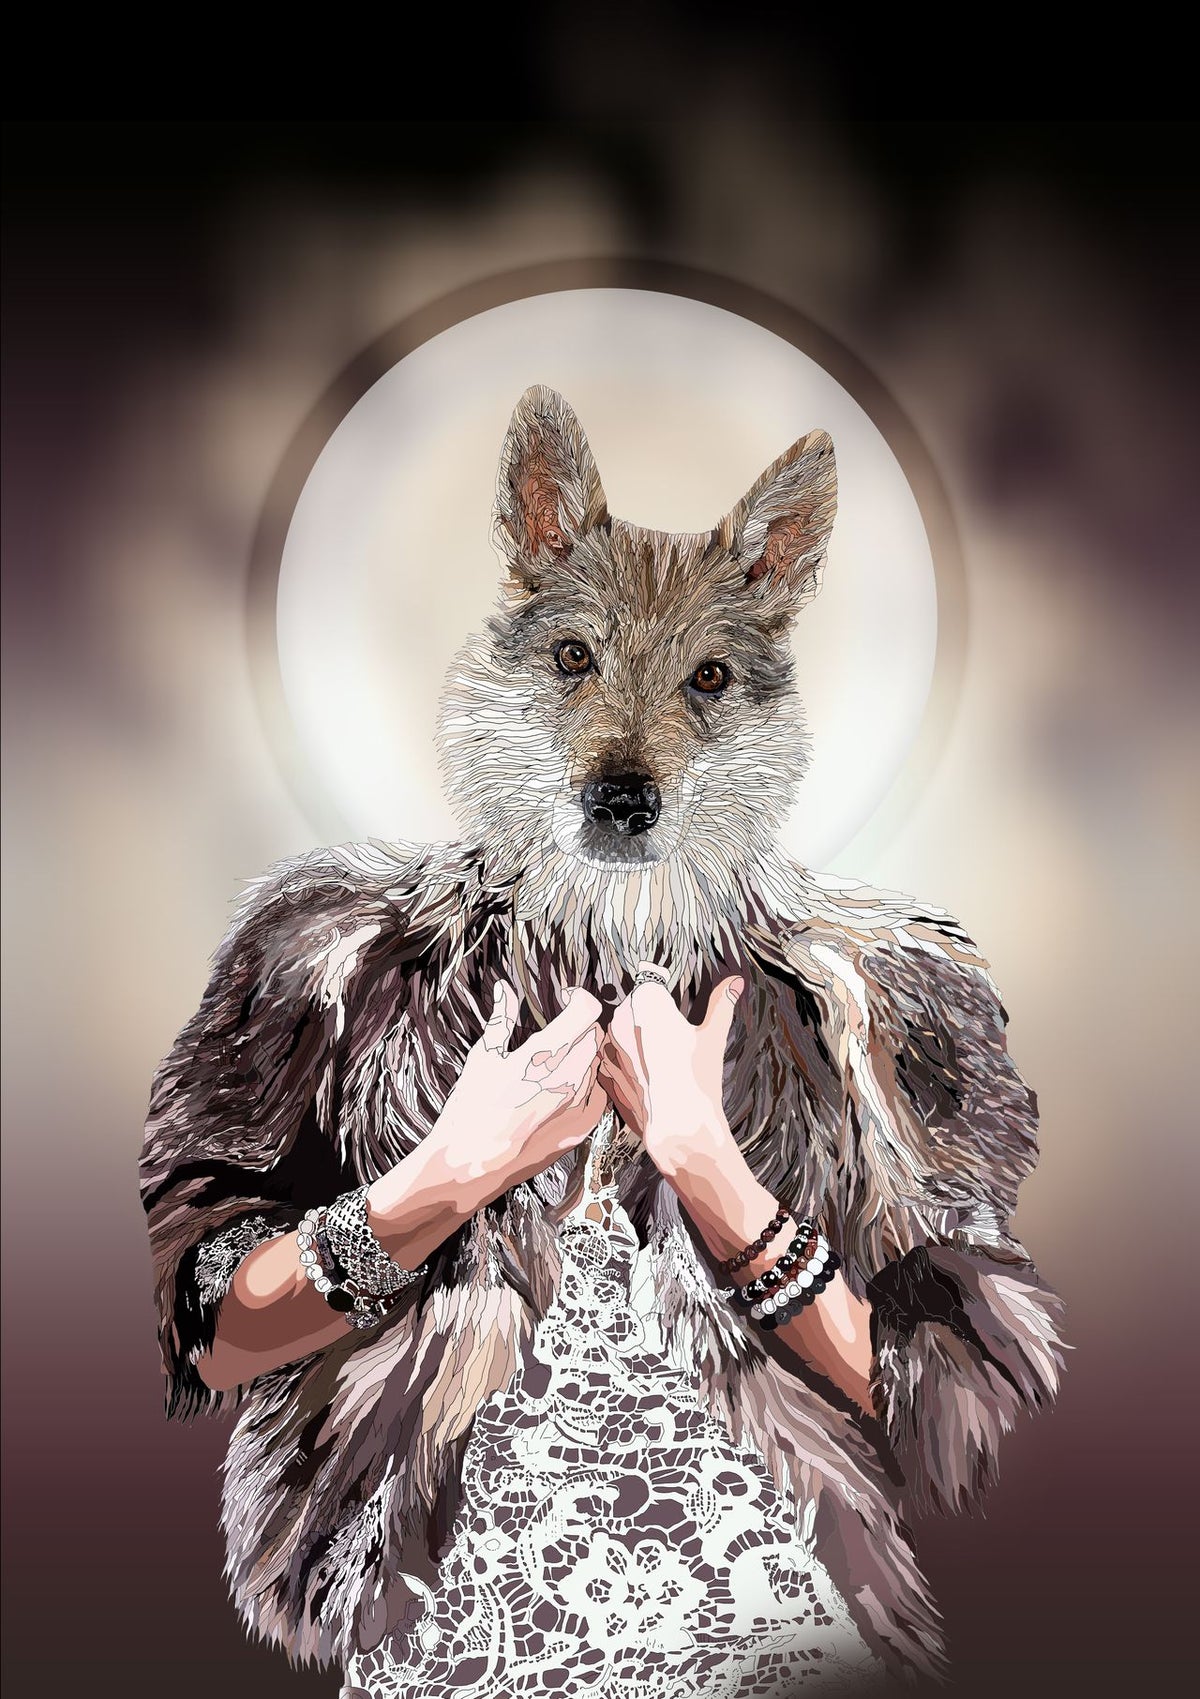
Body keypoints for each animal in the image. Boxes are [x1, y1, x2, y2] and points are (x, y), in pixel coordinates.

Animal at [140, 385, 1067, 1684]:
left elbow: (943, 1334)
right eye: (574, 657)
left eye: (710, 678)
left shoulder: (925, 1049)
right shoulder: (278, 988)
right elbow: (232, 1231)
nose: (622, 798)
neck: (612, 938)